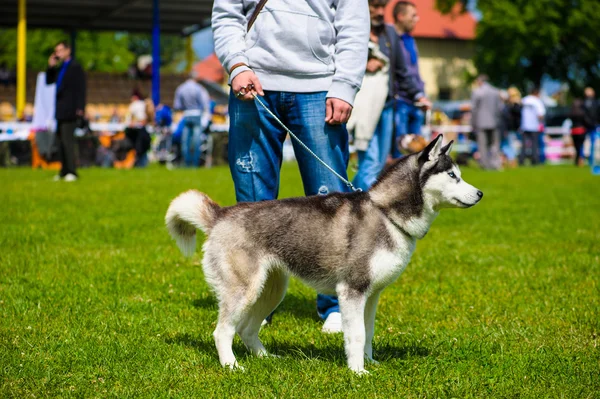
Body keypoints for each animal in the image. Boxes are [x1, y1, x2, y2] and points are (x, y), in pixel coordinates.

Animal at [164, 137, 482, 376]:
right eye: (452, 175)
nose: (480, 193)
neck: (386, 213)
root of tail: (221, 214)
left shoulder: (372, 295)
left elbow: (368, 332)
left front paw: (371, 363)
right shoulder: (352, 291)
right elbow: (356, 335)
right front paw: (358, 372)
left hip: (271, 291)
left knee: (246, 329)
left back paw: (266, 358)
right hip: (244, 290)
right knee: (222, 331)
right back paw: (231, 365)